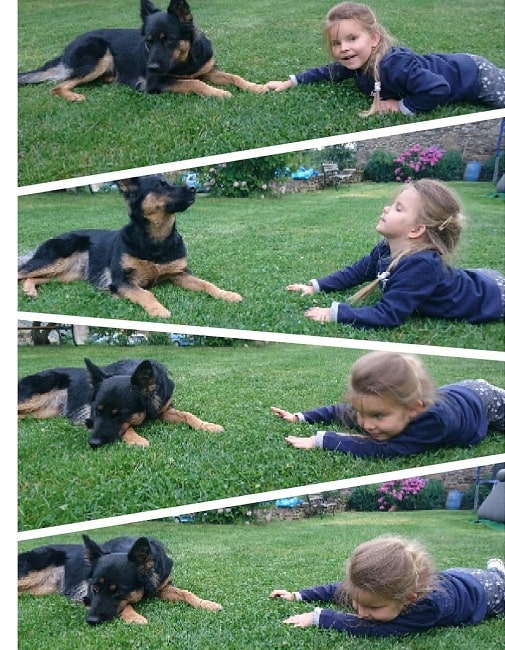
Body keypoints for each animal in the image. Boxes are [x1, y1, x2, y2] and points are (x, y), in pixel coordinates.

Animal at [17, 0, 266, 100]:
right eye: (148, 41)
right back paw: (73, 96)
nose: (151, 66)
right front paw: (218, 93)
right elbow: (195, 83)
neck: (186, 60)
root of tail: (68, 47)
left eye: (169, 40)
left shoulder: (209, 70)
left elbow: (234, 77)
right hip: (99, 55)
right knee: (58, 86)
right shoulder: (157, 82)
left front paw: (257, 87)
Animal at [17, 173, 242, 318]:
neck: (156, 239)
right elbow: (146, 293)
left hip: (65, 273)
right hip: (56, 259)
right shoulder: (122, 281)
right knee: (22, 272)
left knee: (32, 277)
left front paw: (227, 294)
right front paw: (158, 310)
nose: (194, 189)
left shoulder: (180, 274)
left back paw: (29, 291)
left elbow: (207, 284)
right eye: (161, 185)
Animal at [17, 354, 222, 446]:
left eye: (118, 414)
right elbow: (128, 428)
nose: (93, 443)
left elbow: (188, 415)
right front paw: (137, 440)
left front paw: (208, 426)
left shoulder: (163, 409)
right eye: (97, 411)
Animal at [18, 532, 221, 624]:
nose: (91, 621)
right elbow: (127, 605)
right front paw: (135, 617)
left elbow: (187, 593)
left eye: (118, 591)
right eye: (95, 589)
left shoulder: (162, 586)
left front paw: (207, 604)